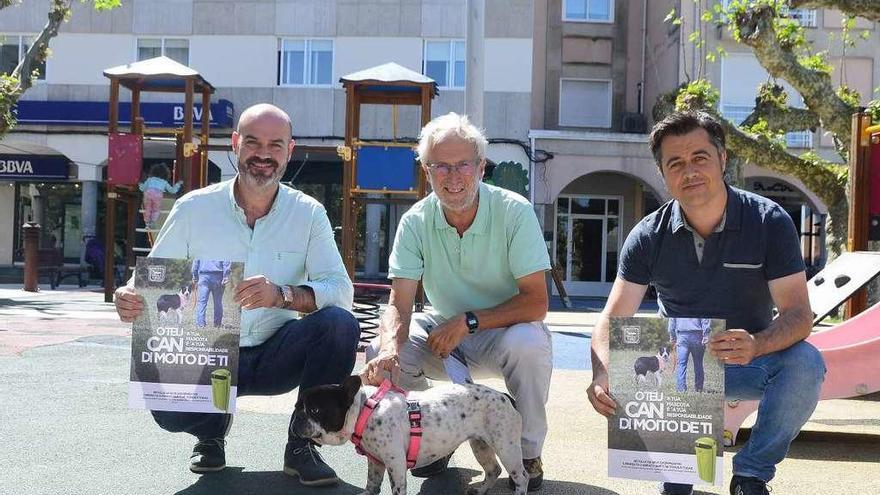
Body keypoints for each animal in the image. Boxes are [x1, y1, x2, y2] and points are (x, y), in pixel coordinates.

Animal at [294, 376, 528, 495]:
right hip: (480, 445)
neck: (364, 410)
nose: (297, 418)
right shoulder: (376, 462)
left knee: (521, 476)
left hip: (506, 447)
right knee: (493, 469)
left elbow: (396, 489)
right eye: (297, 406)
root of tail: (505, 396)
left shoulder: (395, 464)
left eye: (315, 410)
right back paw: (480, 491)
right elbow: (372, 484)